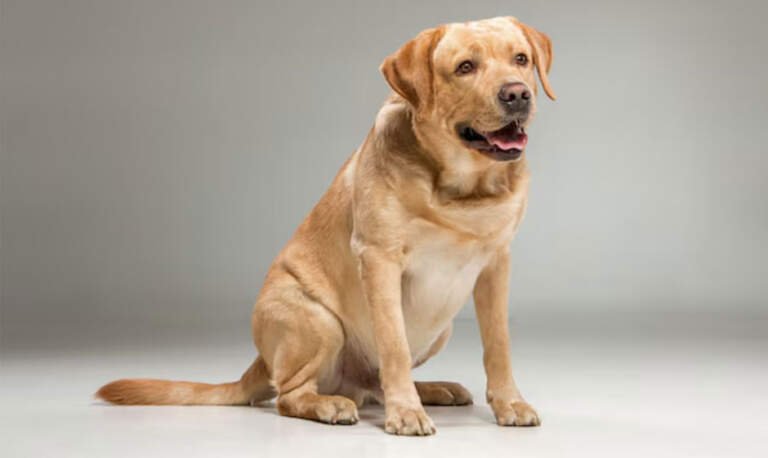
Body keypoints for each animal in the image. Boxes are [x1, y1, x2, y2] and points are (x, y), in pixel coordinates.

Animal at [96, 15, 556, 436]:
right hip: (318, 321)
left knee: (373, 385)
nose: (518, 93)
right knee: (291, 393)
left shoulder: (496, 264)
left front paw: (509, 402)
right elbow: (392, 344)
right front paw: (405, 413)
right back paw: (332, 404)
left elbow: (498, 344)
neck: (464, 191)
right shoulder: (379, 260)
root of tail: (260, 362)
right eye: (465, 67)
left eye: (521, 59)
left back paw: (431, 389)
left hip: (438, 329)